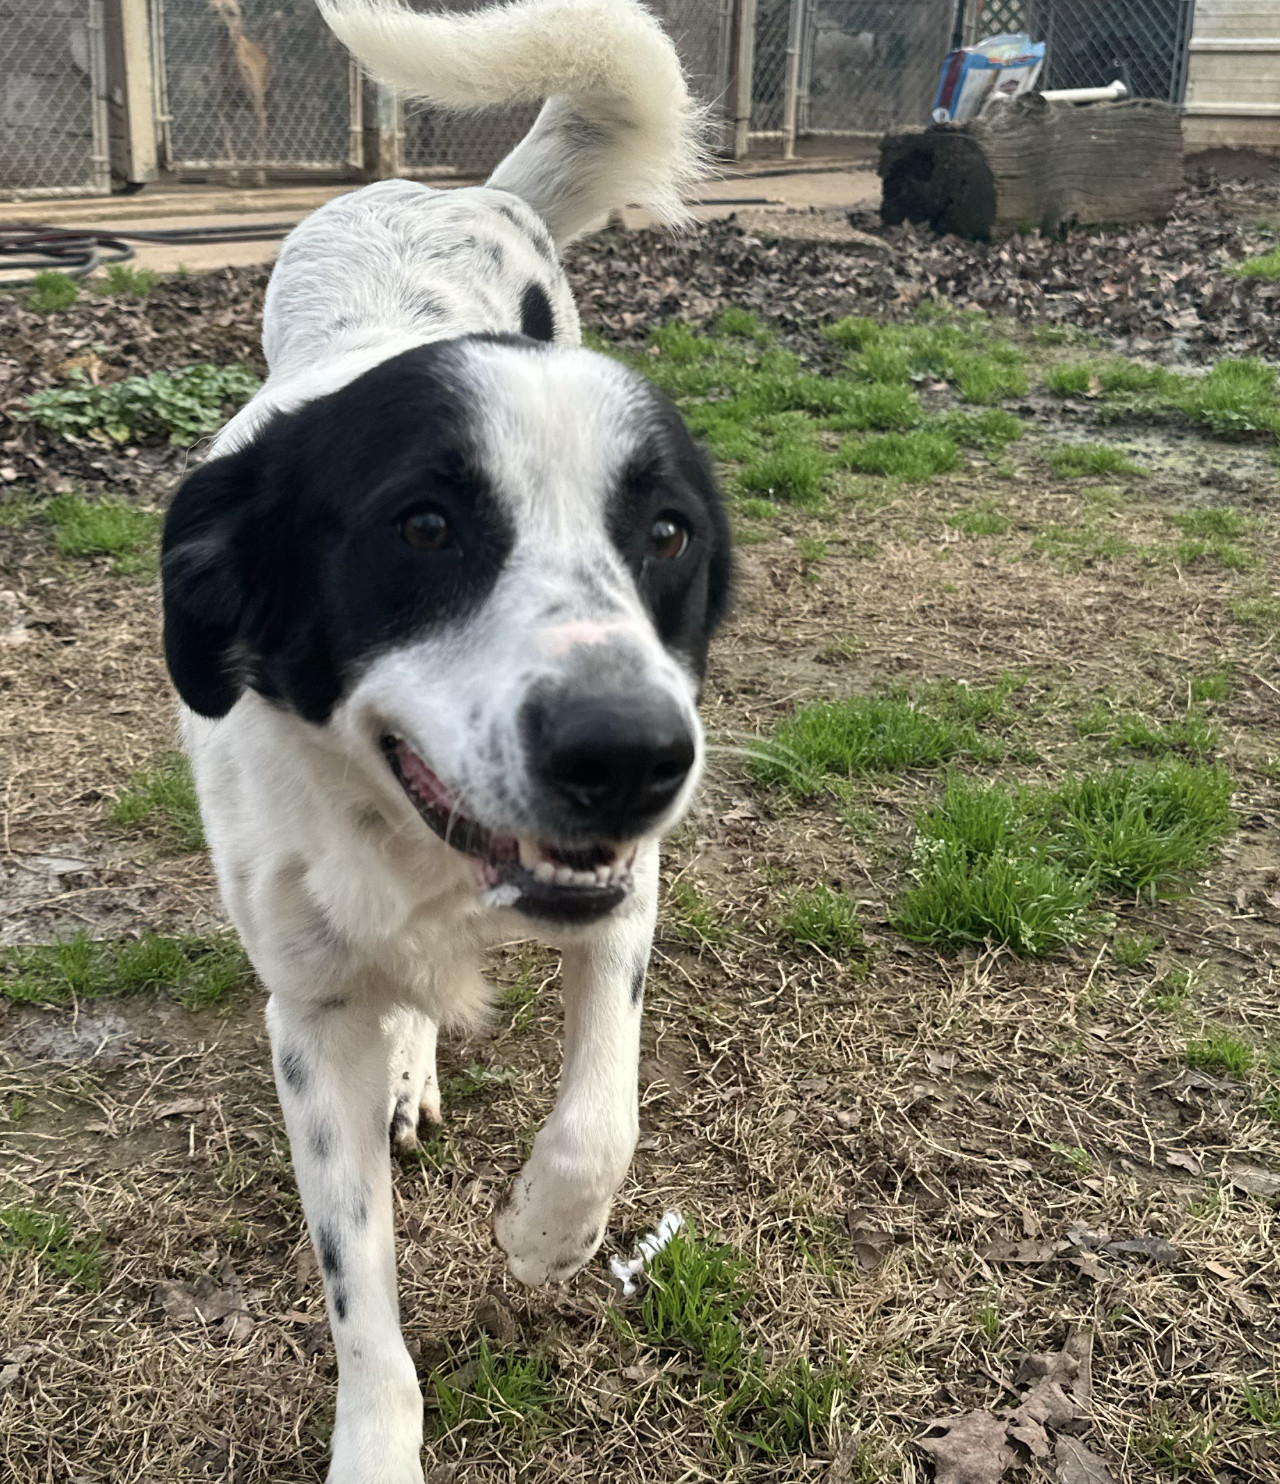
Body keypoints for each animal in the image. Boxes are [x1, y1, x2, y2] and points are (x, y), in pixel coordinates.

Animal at [162, 5, 729, 1478]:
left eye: (667, 533)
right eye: (421, 527)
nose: (630, 758)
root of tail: (441, 189)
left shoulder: (625, 888)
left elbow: (602, 1111)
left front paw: (547, 1234)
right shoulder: (306, 1010)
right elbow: (358, 1289)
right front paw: (377, 1445)